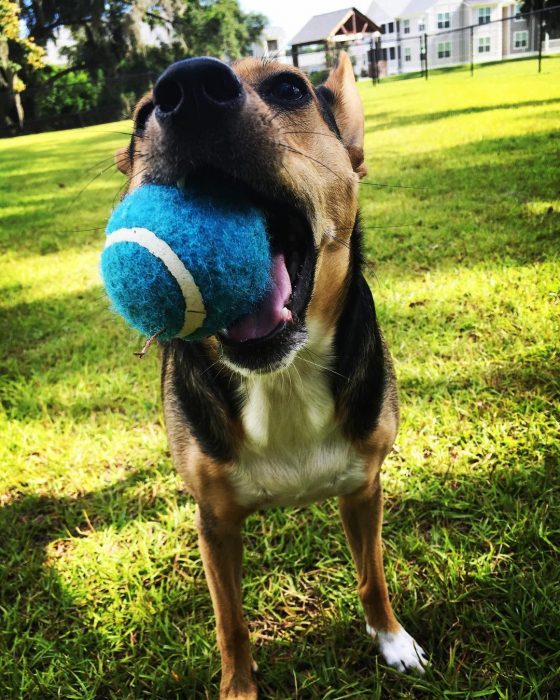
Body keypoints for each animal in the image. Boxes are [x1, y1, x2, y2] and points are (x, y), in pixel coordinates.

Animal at [115, 52, 428, 696]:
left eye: (289, 88)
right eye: (141, 115)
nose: (188, 89)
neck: (281, 377)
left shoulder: (365, 488)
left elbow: (373, 575)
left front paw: (391, 638)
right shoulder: (214, 522)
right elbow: (230, 622)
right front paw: (238, 687)